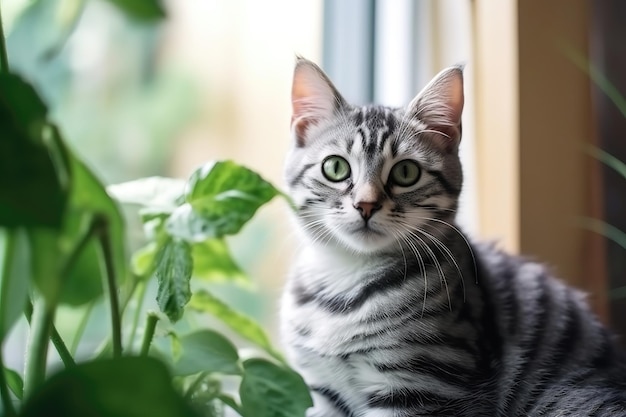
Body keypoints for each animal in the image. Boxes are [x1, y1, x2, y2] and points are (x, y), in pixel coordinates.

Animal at [280, 57, 624, 416]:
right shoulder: (323, 391)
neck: (345, 278)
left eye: (406, 172)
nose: (366, 204)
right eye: (335, 168)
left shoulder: (422, 383)